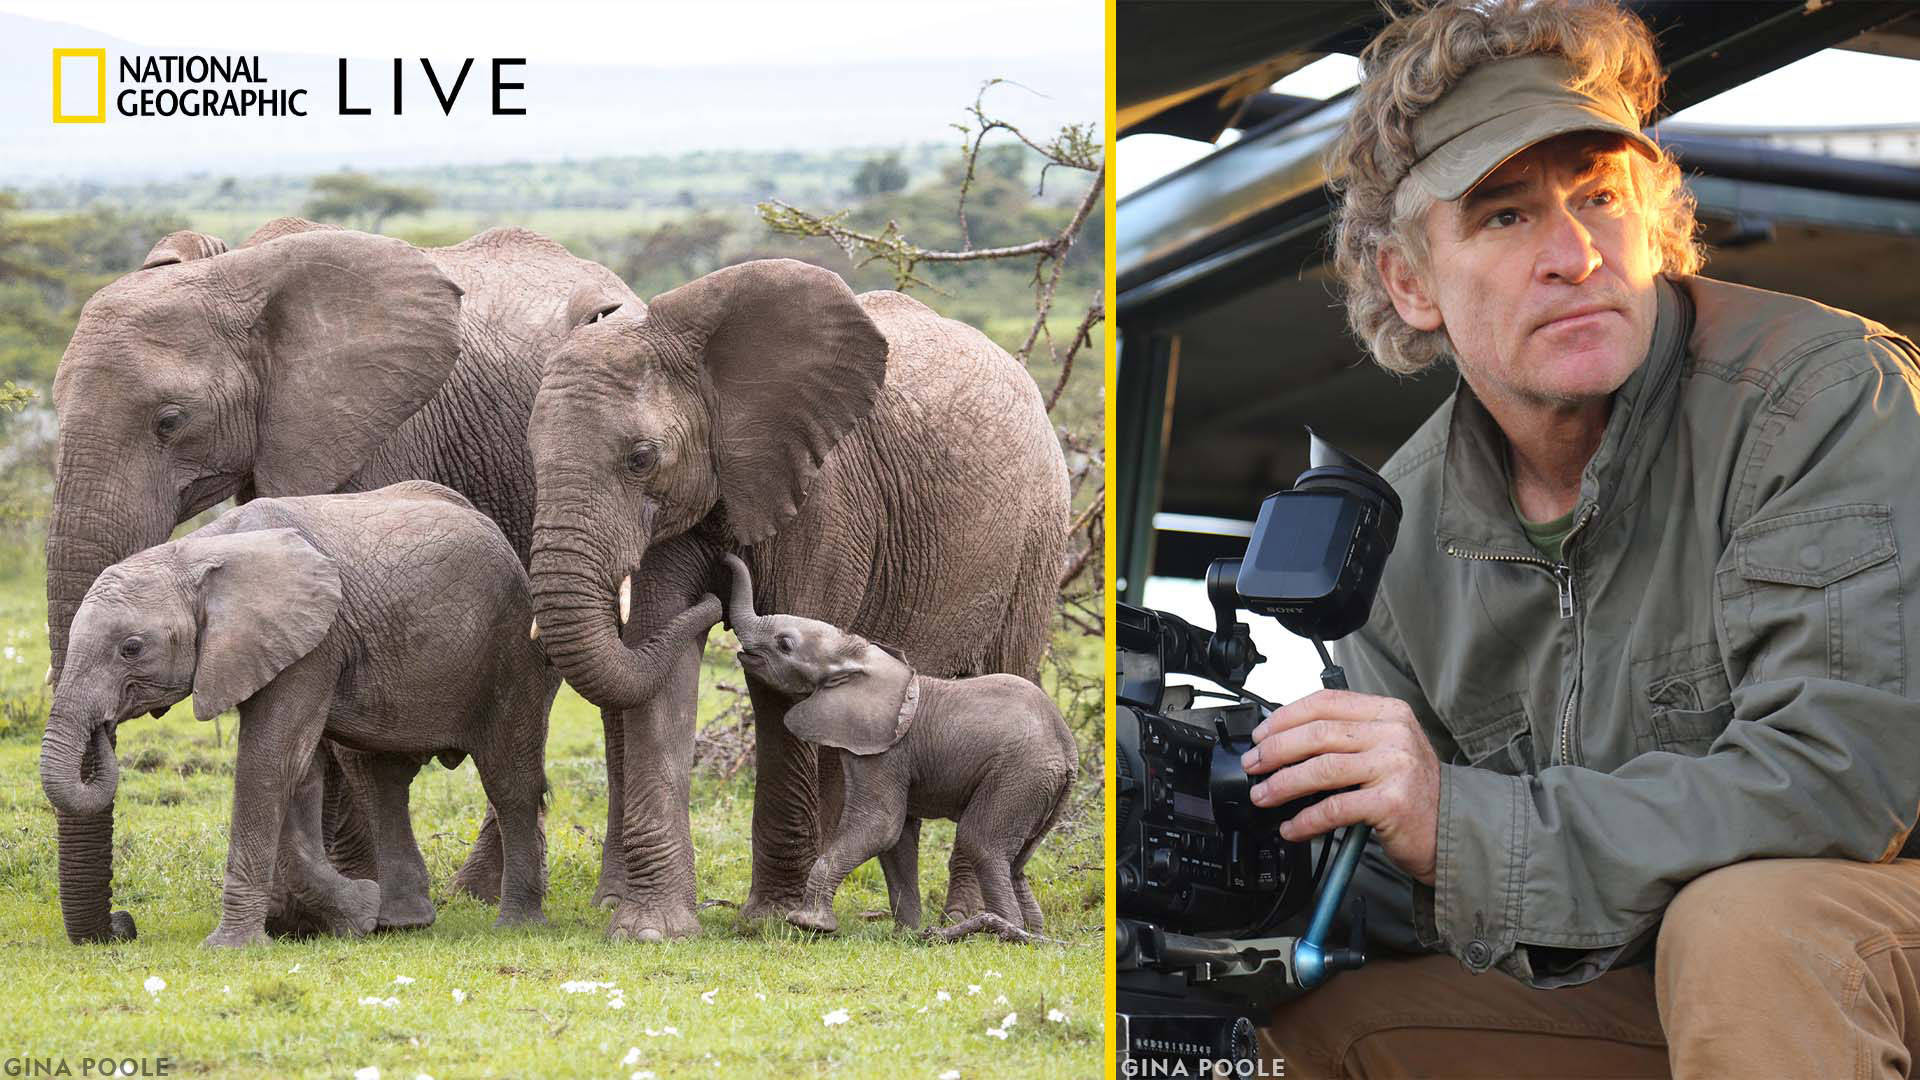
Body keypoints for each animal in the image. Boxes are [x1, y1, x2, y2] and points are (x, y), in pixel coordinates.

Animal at [42, 218, 639, 943]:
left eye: (170, 420)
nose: (121, 925)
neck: (240, 274)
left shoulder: (385, 426)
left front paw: (338, 908)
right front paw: (319, 911)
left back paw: (582, 898)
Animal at [719, 555, 1074, 939]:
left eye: (785, 644)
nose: (725, 557)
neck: (861, 657)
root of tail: (1069, 752)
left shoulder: (885, 751)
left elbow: (880, 825)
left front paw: (810, 925)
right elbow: (898, 838)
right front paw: (906, 934)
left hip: (1020, 774)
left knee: (981, 841)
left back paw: (1002, 932)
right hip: (1038, 786)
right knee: (1017, 861)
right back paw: (1033, 932)